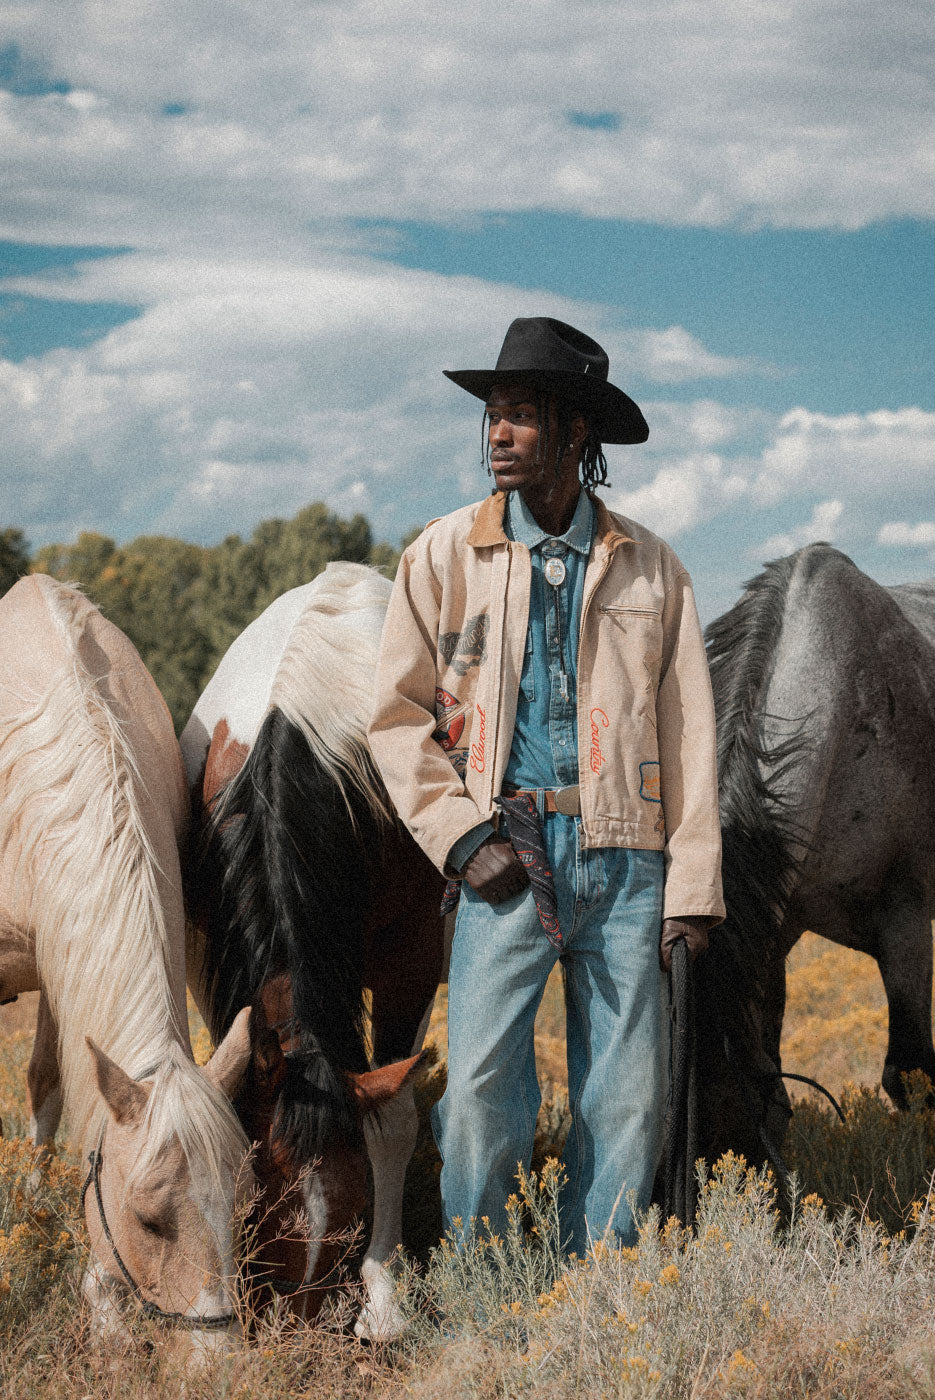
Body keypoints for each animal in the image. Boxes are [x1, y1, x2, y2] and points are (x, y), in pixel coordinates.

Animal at [181, 562, 445, 1338]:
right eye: (259, 1199)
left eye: (352, 1206)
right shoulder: (215, 959)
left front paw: (383, 1296)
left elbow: (392, 1121)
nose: (293, 1320)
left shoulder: (413, 958)